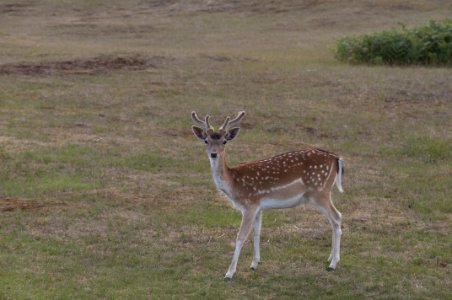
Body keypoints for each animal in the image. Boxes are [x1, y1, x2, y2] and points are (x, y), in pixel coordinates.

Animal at [190, 111, 342, 280]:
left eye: (224, 141)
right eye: (206, 140)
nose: (214, 154)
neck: (234, 183)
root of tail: (336, 158)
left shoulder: (250, 204)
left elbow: (240, 236)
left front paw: (229, 273)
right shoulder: (258, 207)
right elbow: (256, 233)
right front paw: (254, 264)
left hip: (320, 191)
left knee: (337, 217)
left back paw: (333, 264)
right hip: (321, 193)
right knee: (333, 220)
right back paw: (330, 257)